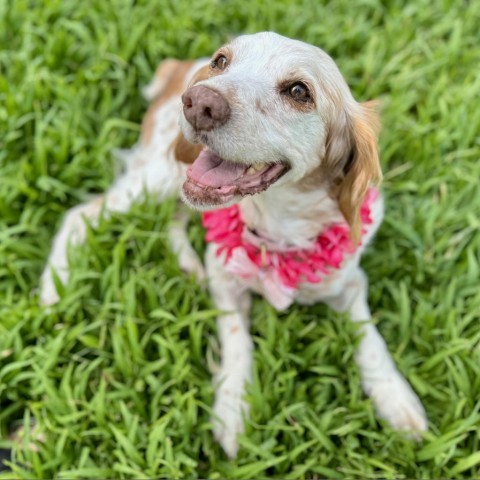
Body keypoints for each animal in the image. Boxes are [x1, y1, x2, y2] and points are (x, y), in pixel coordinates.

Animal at [40, 31, 428, 458]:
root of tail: (181, 67)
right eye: (222, 61)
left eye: (299, 91)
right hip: (156, 177)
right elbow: (237, 340)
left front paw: (396, 399)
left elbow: (369, 337)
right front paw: (232, 409)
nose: (199, 103)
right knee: (80, 215)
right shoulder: (226, 281)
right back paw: (53, 288)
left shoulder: (350, 282)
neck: (278, 230)